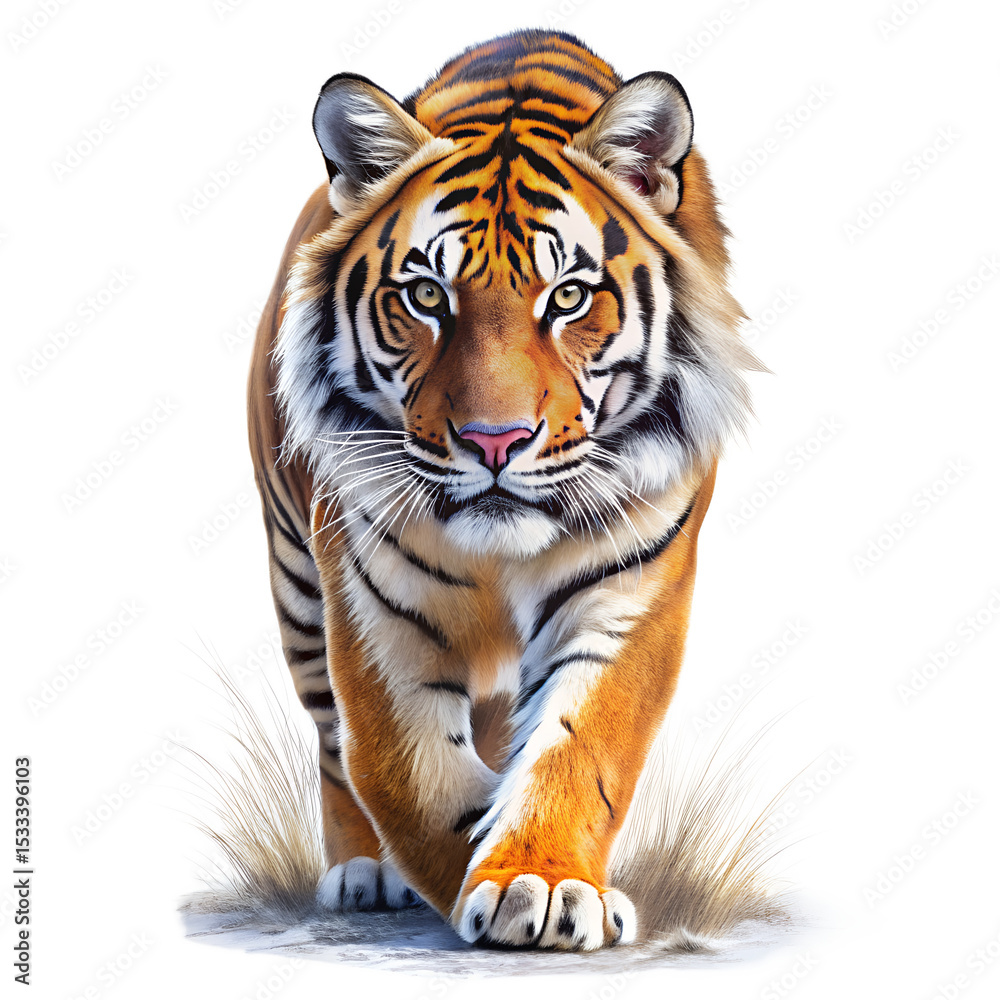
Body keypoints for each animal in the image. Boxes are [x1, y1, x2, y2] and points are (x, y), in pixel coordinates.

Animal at [246, 29, 757, 951]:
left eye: (569, 297)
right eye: (425, 295)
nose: (494, 440)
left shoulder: (628, 588)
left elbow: (580, 745)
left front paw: (539, 882)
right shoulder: (372, 599)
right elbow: (404, 769)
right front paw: (476, 868)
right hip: (298, 586)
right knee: (332, 743)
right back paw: (364, 872)